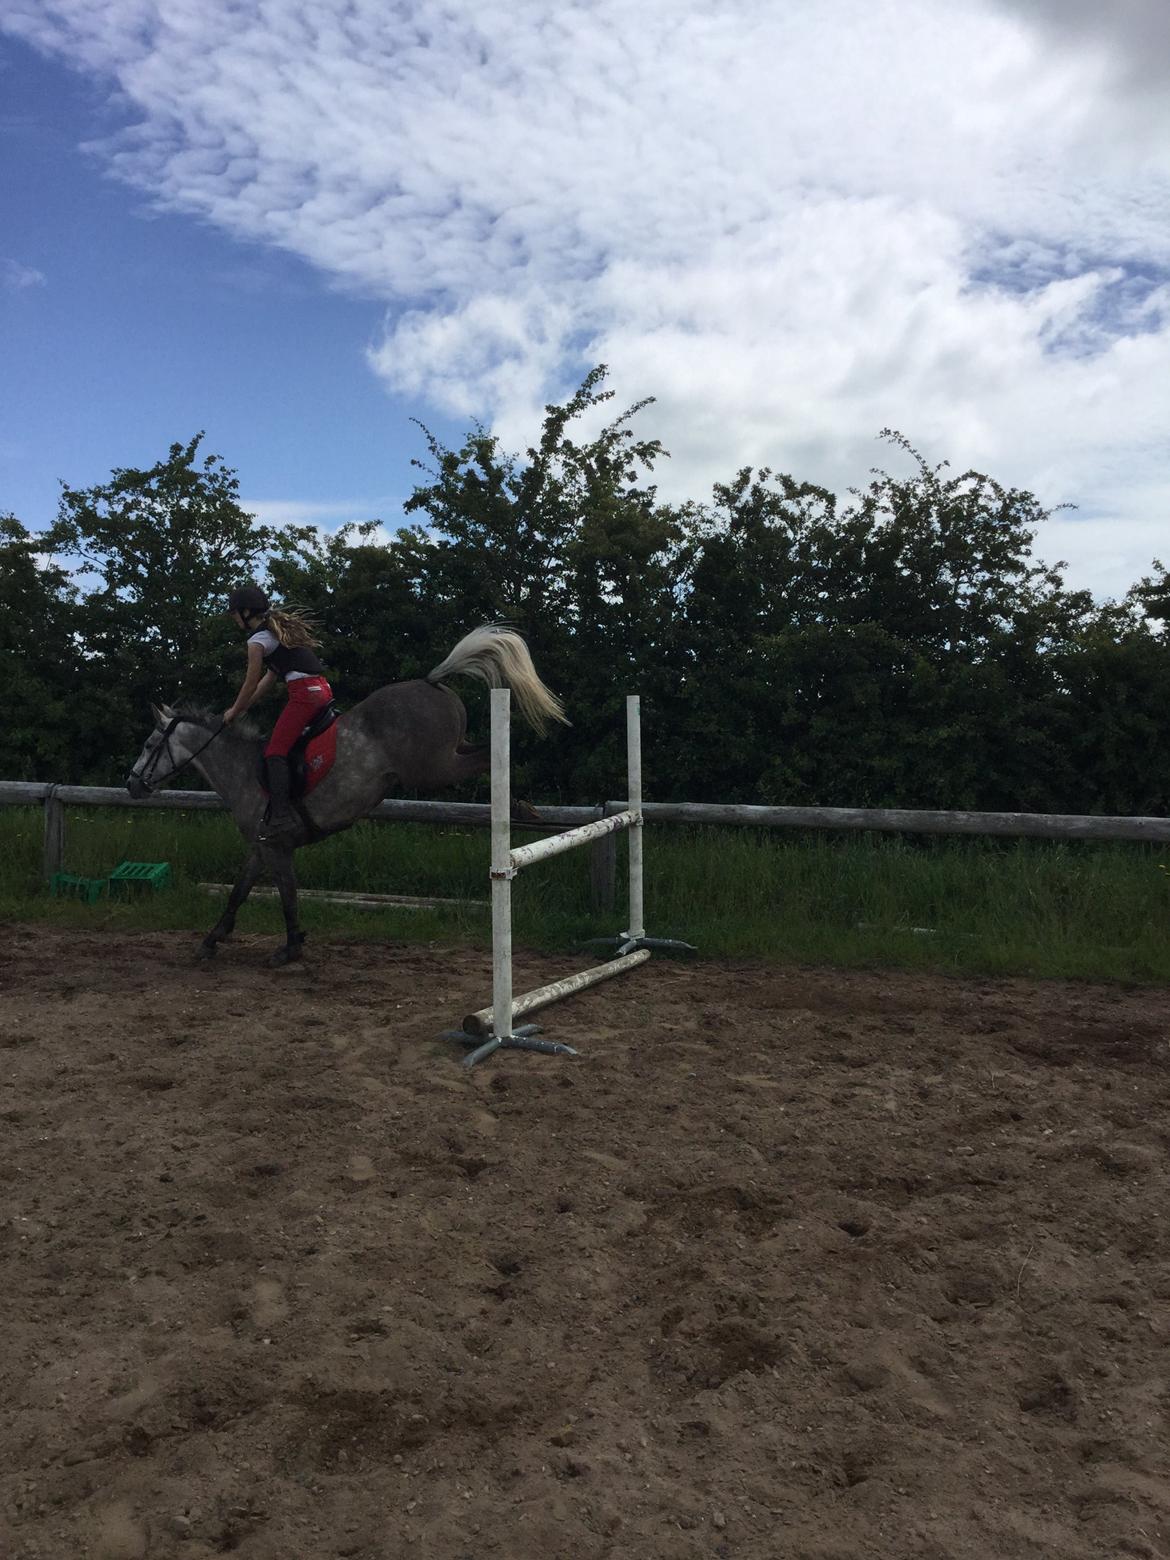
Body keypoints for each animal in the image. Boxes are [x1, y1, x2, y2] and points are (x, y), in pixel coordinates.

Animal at [127, 620, 567, 960]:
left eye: (149, 746)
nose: (131, 785)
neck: (241, 770)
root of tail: (430, 681)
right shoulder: (261, 847)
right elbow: (238, 892)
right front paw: (211, 940)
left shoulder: (278, 847)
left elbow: (288, 896)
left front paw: (290, 948)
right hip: (448, 753)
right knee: (483, 749)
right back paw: (522, 804)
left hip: (433, 768)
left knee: (489, 757)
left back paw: (519, 805)